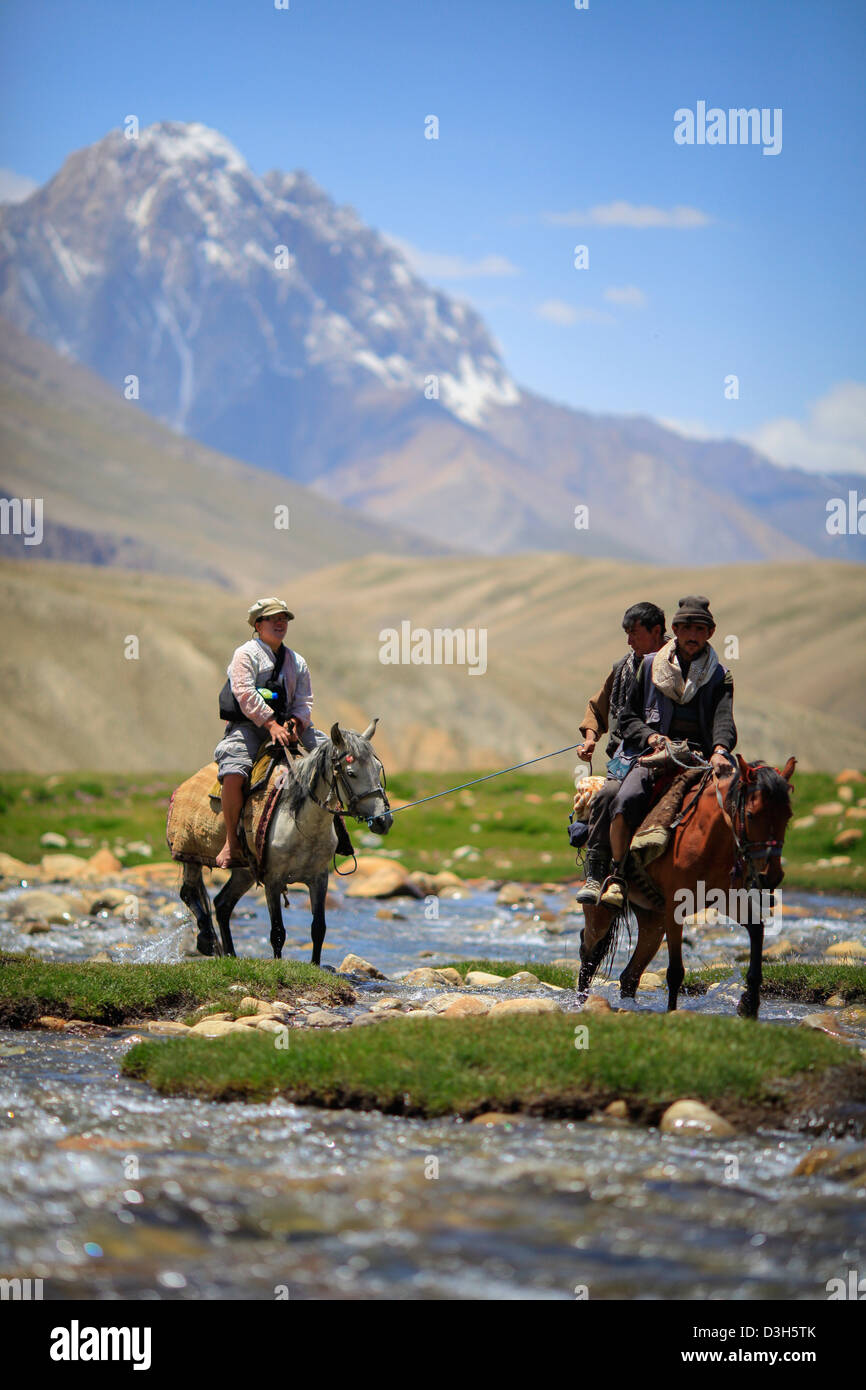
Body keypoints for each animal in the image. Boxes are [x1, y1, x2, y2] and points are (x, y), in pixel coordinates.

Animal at [180, 722, 391, 961]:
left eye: (378, 768)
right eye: (351, 773)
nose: (383, 820)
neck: (302, 827)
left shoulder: (319, 878)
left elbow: (319, 928)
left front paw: (315, 964)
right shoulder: (273, 880)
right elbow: (278, 932)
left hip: (245, 872)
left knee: (222, 904)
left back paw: (230, 954)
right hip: (190, 856)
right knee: (189, 892)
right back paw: (207, 939)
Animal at [578, 756, 795, 1017]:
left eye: (788, 816)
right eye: (752, 815)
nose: (771, 875)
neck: (707, 836)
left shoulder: (728, 899)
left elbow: (756, 929)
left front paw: (749, 1004)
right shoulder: (676, 907)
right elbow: (675, 971)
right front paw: (673, 1013)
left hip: (653, 920)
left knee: (629, 975)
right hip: (602, 912)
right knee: (588, 949)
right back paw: (580, 1002)